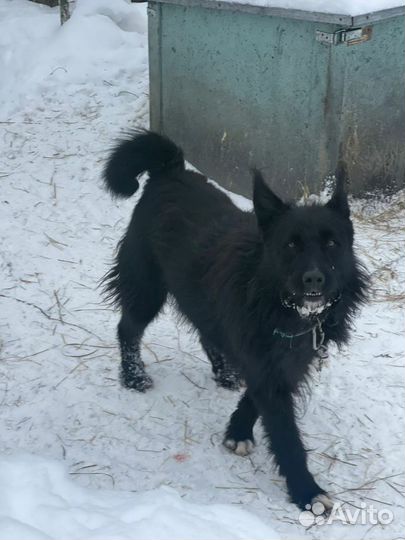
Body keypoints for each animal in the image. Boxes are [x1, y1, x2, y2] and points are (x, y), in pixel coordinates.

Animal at [102, 131, 368, 510]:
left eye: (332, 243)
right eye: (290, 245)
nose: (314, 279)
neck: (276, 299)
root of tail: (170, 169)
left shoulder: (285, 360)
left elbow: (255, 398)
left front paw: (237, 430)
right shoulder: (266, 363)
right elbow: (286, 435)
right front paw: (307, 491)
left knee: (206, 333)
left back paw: (225, 372)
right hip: (146, 287)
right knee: (128, 328)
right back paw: (133, 375)